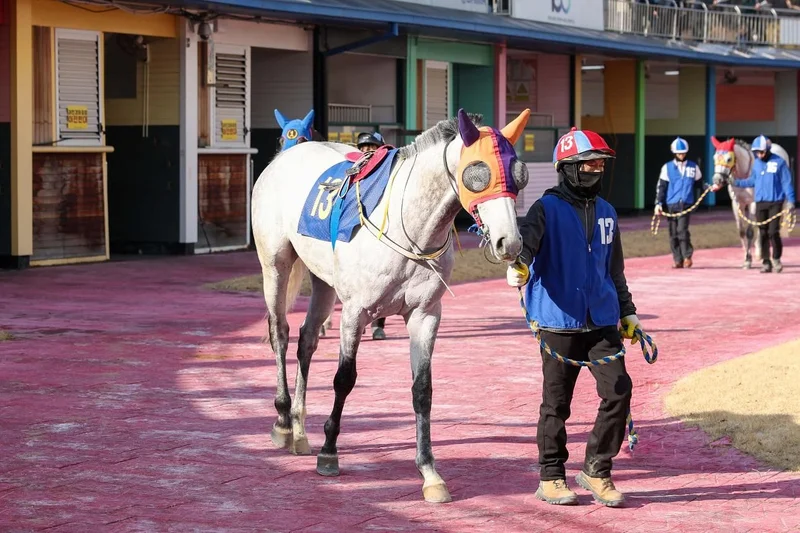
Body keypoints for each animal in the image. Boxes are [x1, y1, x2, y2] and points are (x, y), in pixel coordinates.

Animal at [251, 108, 531, 503]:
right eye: (478, 174)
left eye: (519, 175)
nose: (511, 242)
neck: (410, 227)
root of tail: (287, 154)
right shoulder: (354, 312)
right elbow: (344, 379)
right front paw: (329, 451)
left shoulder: (425, 315)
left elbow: (422, 390)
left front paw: (429, 471)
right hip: (275, 264)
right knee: (281, 332)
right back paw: (282, 421)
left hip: (323, 279)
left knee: (307, 339)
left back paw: (300, 427)